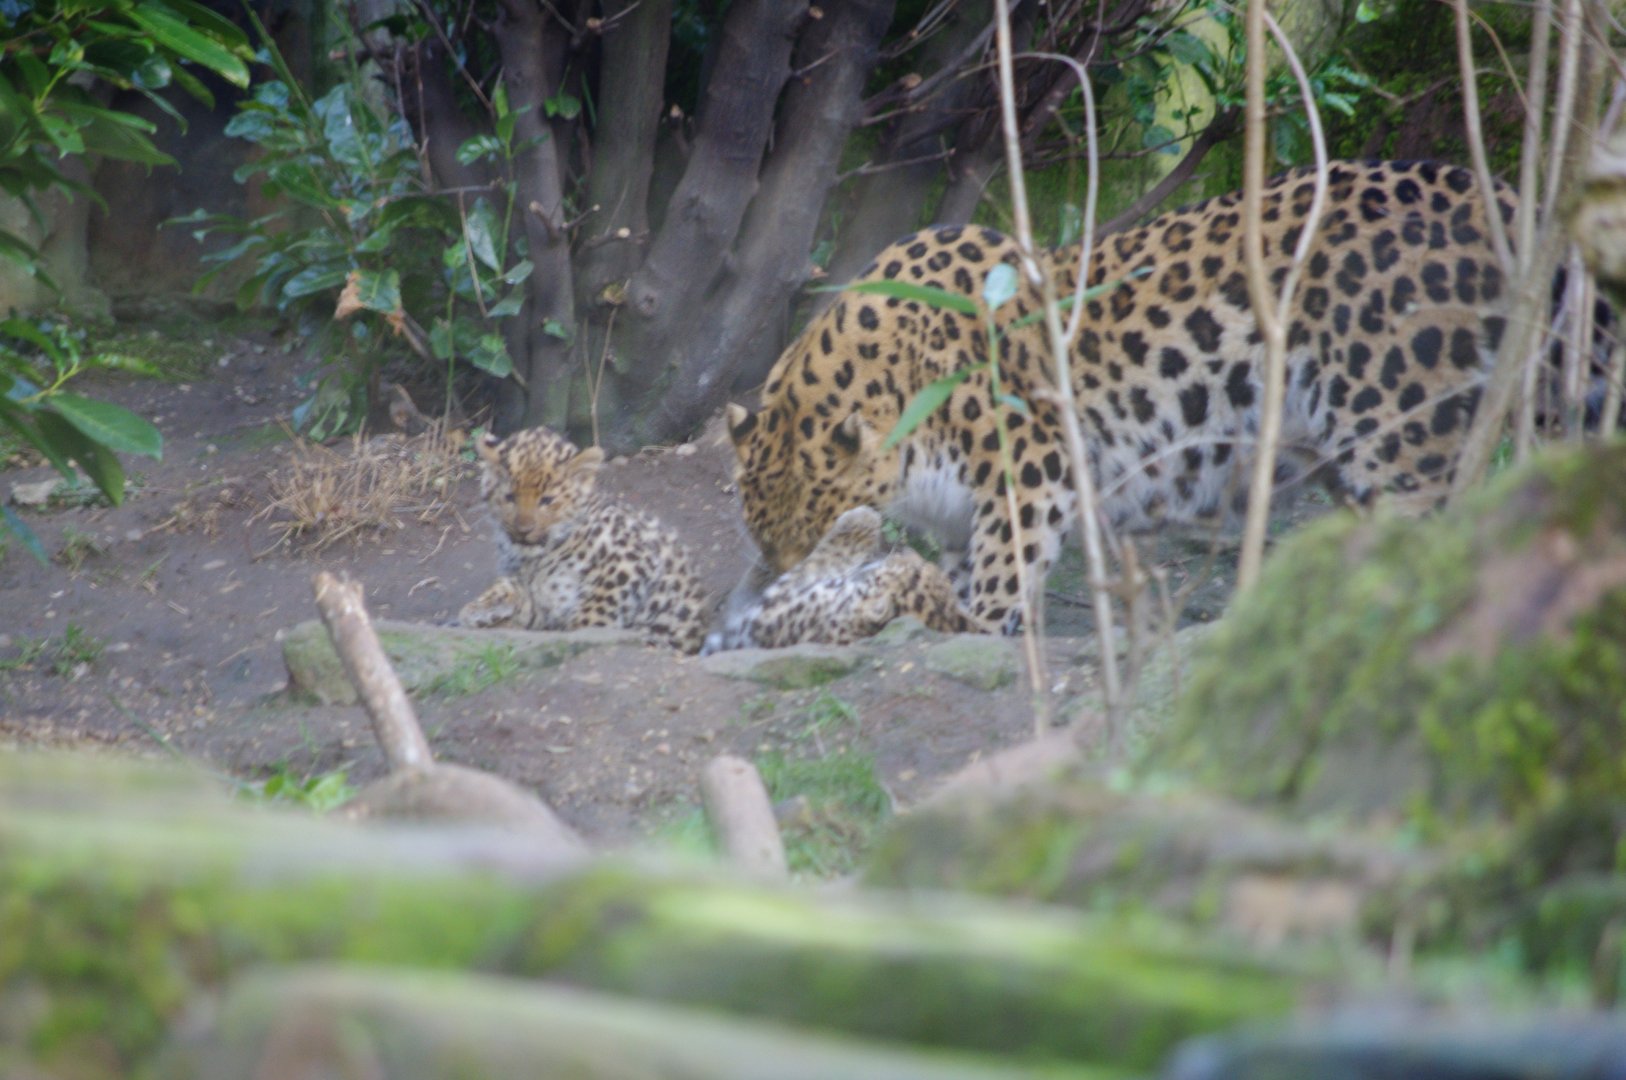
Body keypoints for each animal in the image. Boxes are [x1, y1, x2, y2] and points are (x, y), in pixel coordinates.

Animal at [457, 426, 709, 653]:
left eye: (547, 500)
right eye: (510, 497)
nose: (523, 529)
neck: (535, 557)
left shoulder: (629, 560)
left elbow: (596, 608)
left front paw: (581, 631)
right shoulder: (539, 599)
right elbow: (514, 595)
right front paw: (479, 609)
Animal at [702, 506, 975, 653]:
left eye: (909, 568)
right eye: (922, 567)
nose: (906, 551)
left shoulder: (776, 601)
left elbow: (821, 558)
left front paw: (863, 516)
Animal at [727, 159, 1518, 635]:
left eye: (818, 531)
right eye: (764, 538)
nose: (785, 580)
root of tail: (1490, 188)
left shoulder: (1030, 468)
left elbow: (1004, 573)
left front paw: (981, 628)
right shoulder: (958, 518)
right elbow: (959, 569)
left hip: (1399, 428)